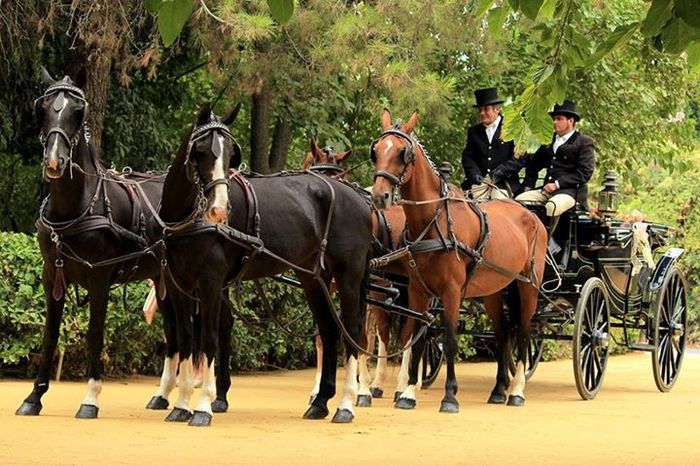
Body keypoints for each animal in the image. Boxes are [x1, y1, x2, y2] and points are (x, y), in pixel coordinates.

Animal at [15, 68, 181, 419]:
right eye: (42, 108)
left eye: (78, 112)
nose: (55, 162)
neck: (76, 208)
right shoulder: (52, 275)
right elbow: (50, 335)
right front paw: (34, 397)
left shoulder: (100, 278)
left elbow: (94, 333)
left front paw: (90, 397)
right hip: (164, 280)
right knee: (176, 332)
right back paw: (163, 395)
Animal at [157, 104, 373, 426]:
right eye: (201, 151)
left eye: (231, 153)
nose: (219, 210)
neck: (187, 218)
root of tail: (359, 198)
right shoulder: (178, 285)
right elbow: (184, 339)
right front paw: (181, 404)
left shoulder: (210, 283)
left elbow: (208, 338)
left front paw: (203, 407)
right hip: (313, 278)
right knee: (329, 330)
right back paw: (320, 402)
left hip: (348, 277)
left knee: (352, 331)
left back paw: (346, 404)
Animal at [369, 109, 547, 411]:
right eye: (377, 150)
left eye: (403, 152)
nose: (380, 196)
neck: (434, 221)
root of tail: (531, 215)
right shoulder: (418, 290)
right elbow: (417, 338)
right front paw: (408, 393)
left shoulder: (451, 291)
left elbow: (449, 339)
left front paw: (450, 396)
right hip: (494, 291)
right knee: (502, 334)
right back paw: (499, 389)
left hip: (528, 287)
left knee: (523, 333)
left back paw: (517, 391)